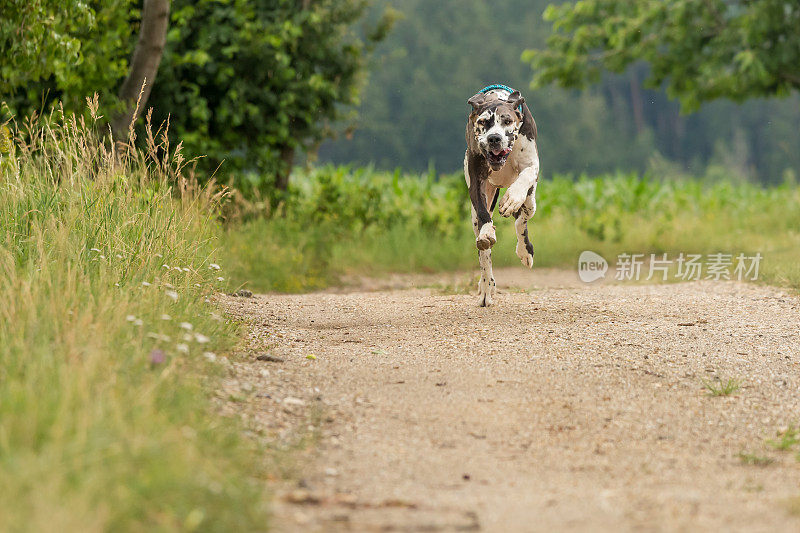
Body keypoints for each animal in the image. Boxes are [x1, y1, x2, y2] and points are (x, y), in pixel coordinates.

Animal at [466, 85, 540, 306]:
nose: (494, 138)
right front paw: (487, 232)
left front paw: (512, 198)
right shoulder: (475, 178)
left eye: (507, 121)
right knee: (485, 255)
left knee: (522, 219)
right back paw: (486, 288)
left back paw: (525, 251)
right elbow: (483, 214)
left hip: (531, 202)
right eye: (482, 122)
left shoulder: (532, 165)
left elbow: (525, 175)